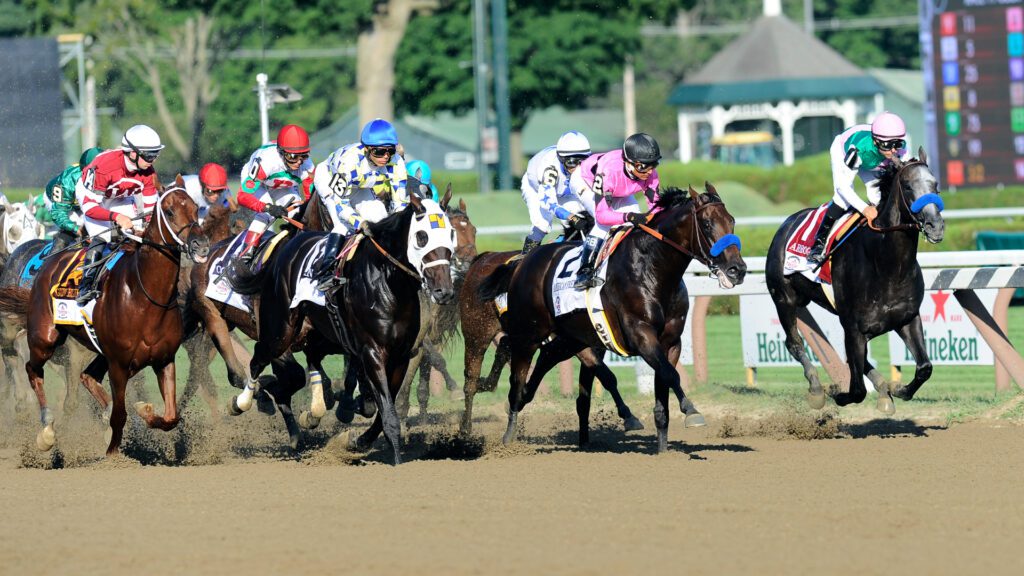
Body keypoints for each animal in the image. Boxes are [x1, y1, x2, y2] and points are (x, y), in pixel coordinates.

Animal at [0, 177, 209, 455]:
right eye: (170, 211)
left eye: (196, 209)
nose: (201, 246)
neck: (145, 295)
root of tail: (48, 265)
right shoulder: (117, 364)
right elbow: (118, 415)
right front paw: (112, 452)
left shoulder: (164, 359)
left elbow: (170, 417)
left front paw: (144, 412)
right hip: (43, 338)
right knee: (31, 369)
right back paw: (46, 429)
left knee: (86, 377)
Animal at [475, 182, 749, 448]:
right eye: (706, 224)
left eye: (732, 221)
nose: (737, 269)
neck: (653, 270)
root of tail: (523, 262)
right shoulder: (641, 335)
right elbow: (671, 375)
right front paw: (691, 411)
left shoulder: (671, 342)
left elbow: (664, 384)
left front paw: (663, 447)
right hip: (528, 335)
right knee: (516, 380)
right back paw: (508, 438)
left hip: (570, 339)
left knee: (545, 359)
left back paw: (525, 402)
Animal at [765, 146, 946, 407]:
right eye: (908, 186)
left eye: (935, 184)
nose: (935, 226)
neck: (888, 267)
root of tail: (785, 224)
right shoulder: (853, 327)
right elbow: (858, 390)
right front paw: (838, 394)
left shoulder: (906, 318)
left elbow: (924, 367)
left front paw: (899, 389)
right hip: (784, 298)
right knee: (794, 342)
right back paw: (817, 389)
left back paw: (882, 387)